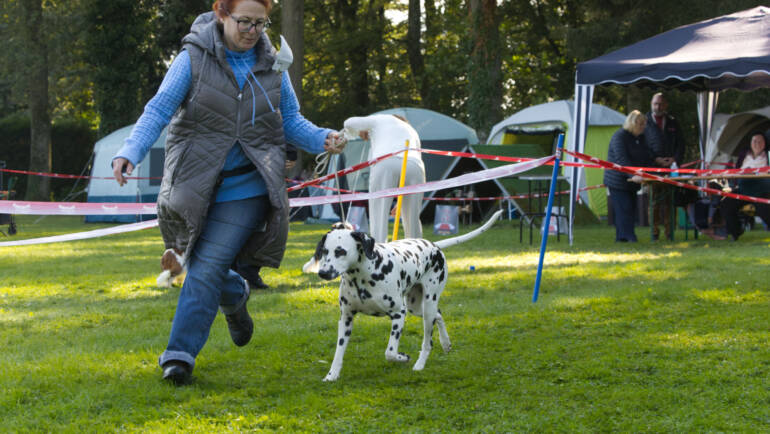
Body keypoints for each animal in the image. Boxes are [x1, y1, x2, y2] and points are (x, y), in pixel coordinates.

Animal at [300, 209, 504, 380]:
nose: (322, 273)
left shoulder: (399, 314)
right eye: (324, 251)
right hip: (417, 308)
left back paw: (420, 364)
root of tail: (433, 245)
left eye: (341, 251)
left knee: (427, 341)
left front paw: (403, 357)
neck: (364, 275)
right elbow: (338, 353)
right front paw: (332, 375)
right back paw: (446, 343)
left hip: (426, 307)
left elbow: (390, 352)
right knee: (439, 315)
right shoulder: (346, 319)